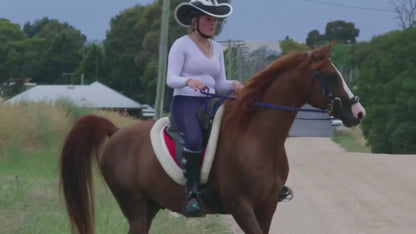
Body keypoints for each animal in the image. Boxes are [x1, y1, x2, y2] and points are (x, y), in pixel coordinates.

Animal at [58, 43, 364, 233]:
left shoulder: (267, 205)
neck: (258, 140)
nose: (358, 112)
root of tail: (115, 133)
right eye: (331, 76)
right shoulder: (241, 206)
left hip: (150, 205)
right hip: (133, 203)